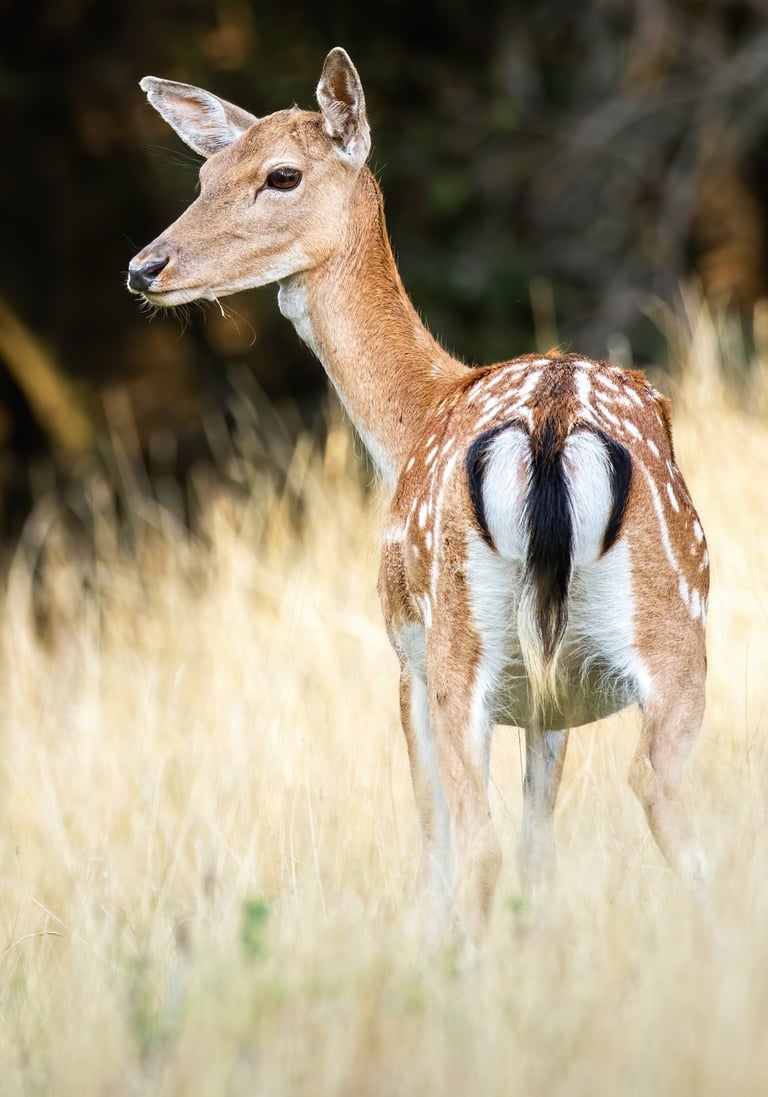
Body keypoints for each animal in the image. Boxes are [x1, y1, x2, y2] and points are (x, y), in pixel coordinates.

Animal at [127, 47, 709, 939]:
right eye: (204, 173)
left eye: (281, 174)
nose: (145, 267)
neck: (414, 413)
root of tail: (551, 424)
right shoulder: (551, 702)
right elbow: (541, 844)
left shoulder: (401, 653)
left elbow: (435, 838)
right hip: (676, 629)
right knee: (667, 802)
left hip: (457, 643)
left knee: (476, 839)